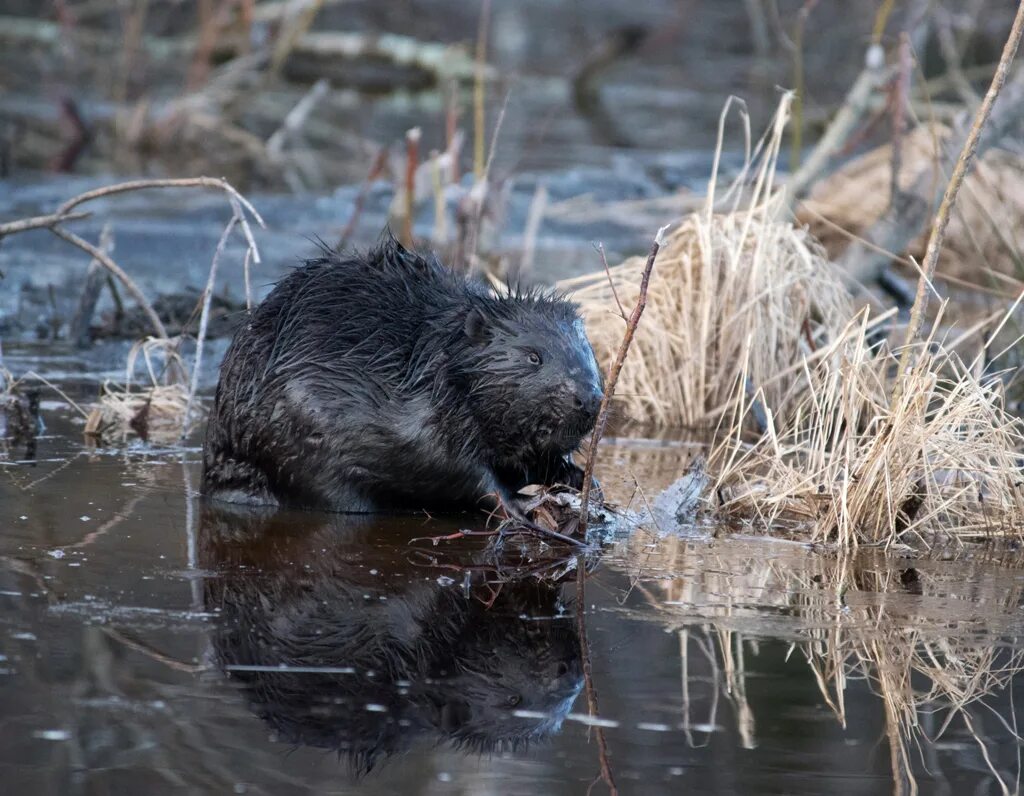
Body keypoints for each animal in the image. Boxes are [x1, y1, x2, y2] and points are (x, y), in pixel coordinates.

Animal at [202, 232, 602, 512]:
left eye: (589, 352)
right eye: (534, 357)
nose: (589, 397)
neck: (433, 362)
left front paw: (582, 479)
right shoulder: (427, 420)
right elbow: (460, 470)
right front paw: (522, 504)